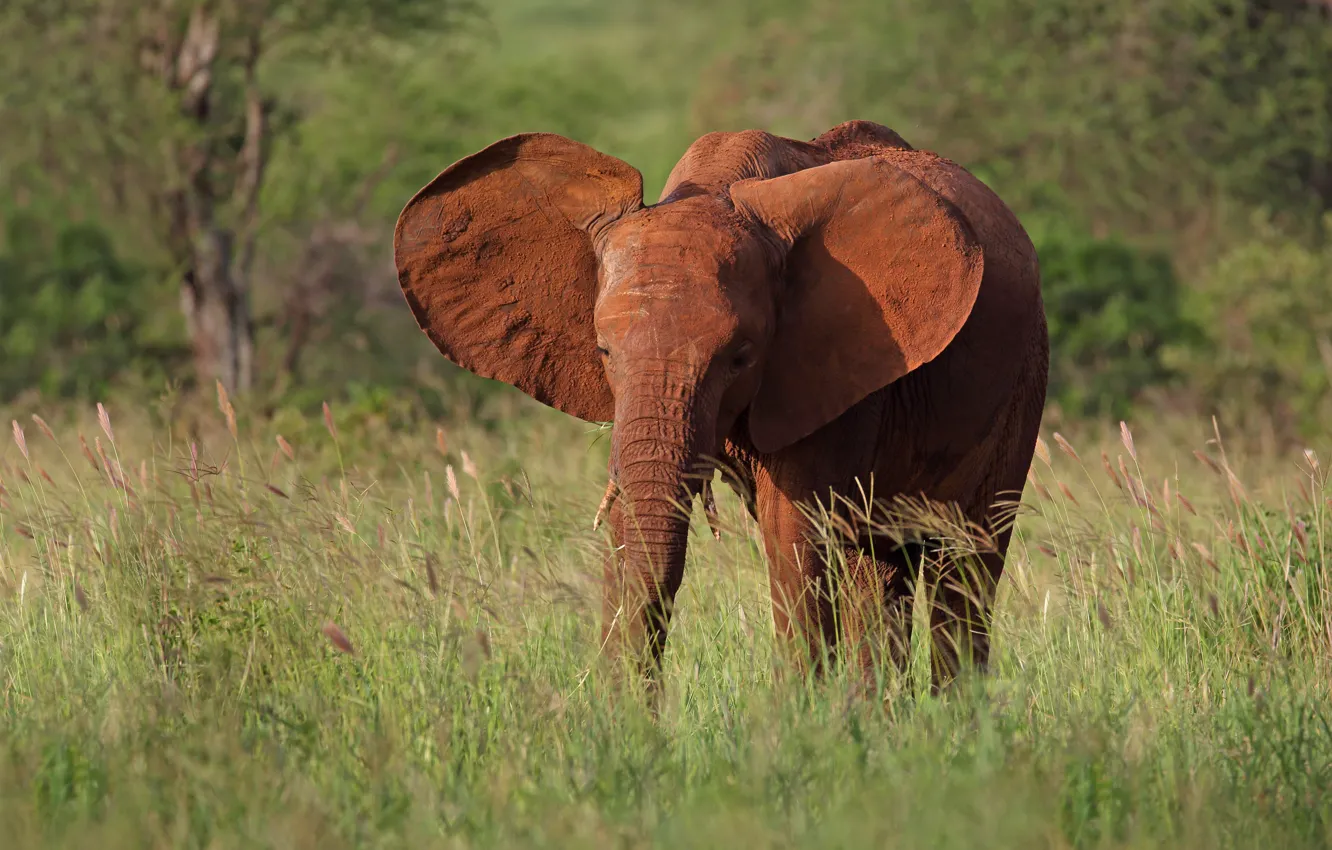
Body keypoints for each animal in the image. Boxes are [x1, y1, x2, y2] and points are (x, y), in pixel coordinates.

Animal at [393, 120, 1048, 693]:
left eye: (740, 357)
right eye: (604, 351)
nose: (639, 723)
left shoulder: (839, 370)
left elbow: (794, 535)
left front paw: (804, 726)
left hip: (1023, 382)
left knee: (962, 564)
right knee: (882, 570)